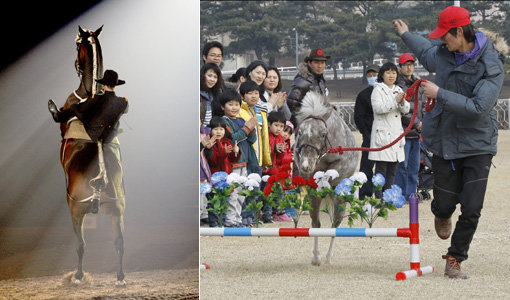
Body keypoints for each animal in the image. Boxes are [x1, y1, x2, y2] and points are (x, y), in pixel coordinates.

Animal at [56, 25, 125, 284]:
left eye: (78, 44)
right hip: (116, 210)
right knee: (119, 242)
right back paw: (120, 277)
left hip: (76, 211)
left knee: (81, 244)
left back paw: (78, 276)